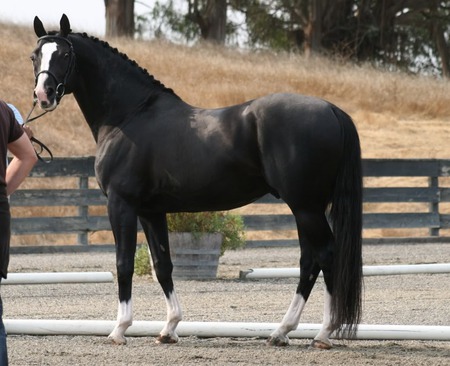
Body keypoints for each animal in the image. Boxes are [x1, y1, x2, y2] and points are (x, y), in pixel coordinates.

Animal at [30, 15, 362, 348]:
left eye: (65, 55)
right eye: (35, 56)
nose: (44, 94)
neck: (129, 115)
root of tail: (331, 109)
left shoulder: (121, 204)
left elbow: (123, 264)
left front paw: (119, 330)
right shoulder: (151, 211)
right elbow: (163, 265)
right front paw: (169, 328)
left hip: (306, 206)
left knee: (326, 255)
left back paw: (323, 333)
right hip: (305, 207)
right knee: (309, 261)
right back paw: (281, 332)